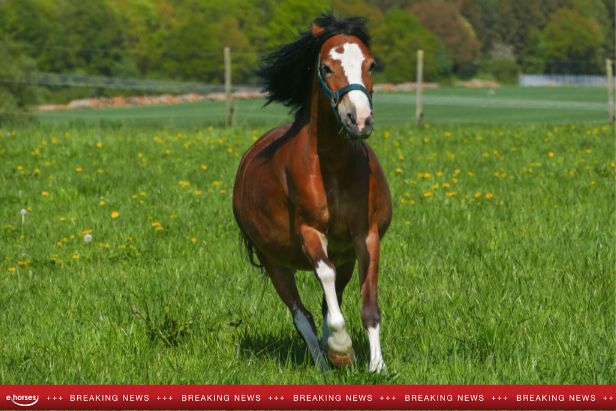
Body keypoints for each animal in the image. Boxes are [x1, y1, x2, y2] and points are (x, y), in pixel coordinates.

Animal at [233, 13, 392, 374]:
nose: (360, 120)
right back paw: (323, 362)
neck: (330, 166)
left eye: (371, 64)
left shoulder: (365, 236)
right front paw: (341, 349)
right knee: (301, 314)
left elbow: (368, 303)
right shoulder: (309, 233)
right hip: (274, 262)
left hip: (345, 257)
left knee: (324, 303)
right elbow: (324, 277)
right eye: (326, 68)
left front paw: (377, 366)